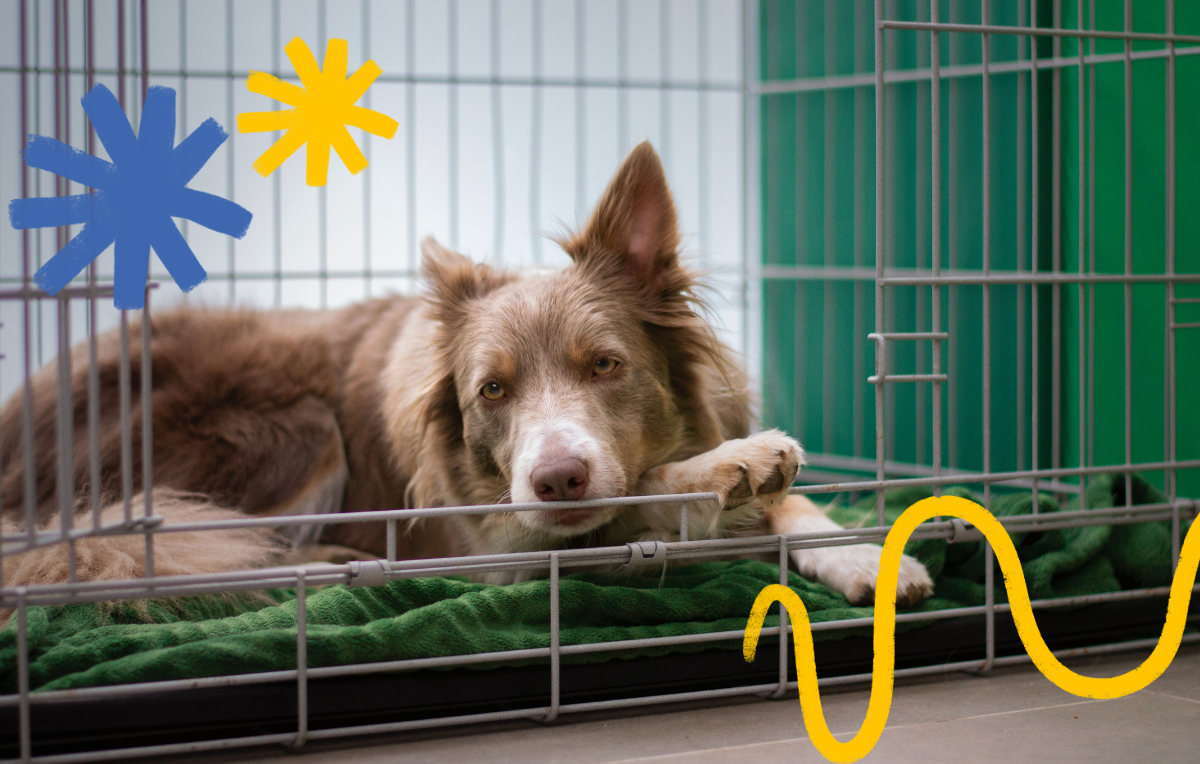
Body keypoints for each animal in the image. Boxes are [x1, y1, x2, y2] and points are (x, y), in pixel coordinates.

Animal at [0, 142, 931, 606]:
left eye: (606, 365)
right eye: (492, 390)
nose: (557, 477)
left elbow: (793, 504)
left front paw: (862, 555)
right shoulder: (507, 546)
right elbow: (640, 497)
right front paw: (730, 468)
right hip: (291, 426)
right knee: (180, 548)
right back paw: (328, 565)